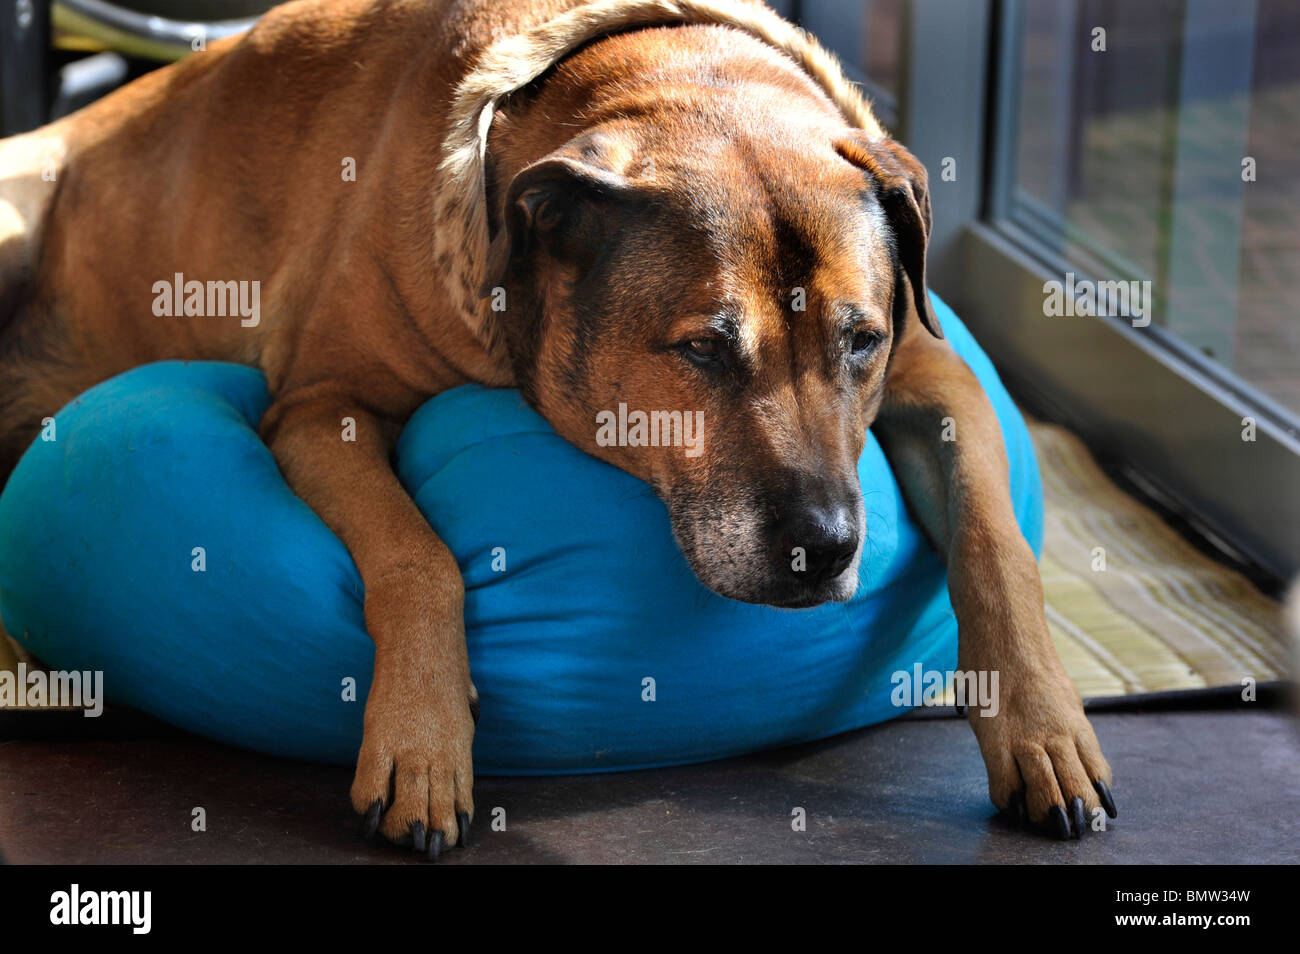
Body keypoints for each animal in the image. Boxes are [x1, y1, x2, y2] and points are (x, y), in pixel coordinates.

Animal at [2, 0, 1118, 857]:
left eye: (861, 341)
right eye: (703, 351)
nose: (828, 547)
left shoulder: (940, 374)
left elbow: (996, 545)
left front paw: (1046, 729)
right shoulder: (323, 405)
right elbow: (416, 555)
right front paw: (421, 740)